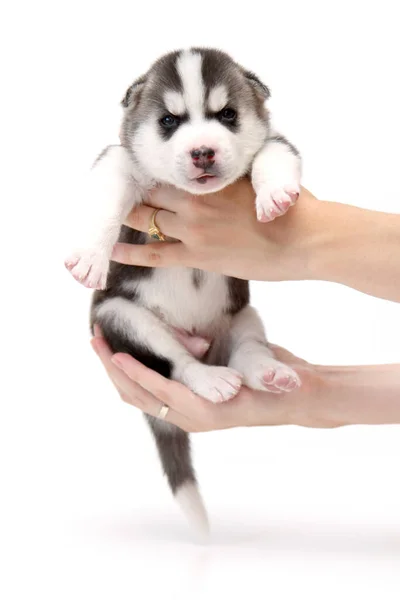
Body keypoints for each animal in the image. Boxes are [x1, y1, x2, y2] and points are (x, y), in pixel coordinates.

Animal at [67, 48, 302, 536]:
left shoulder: (275, 142)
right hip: (120, 316)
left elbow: (274, 153)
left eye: (227, 114)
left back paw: (270, 374)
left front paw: (274, 195)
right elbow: (106, 200)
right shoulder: (119, 161)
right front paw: (90, 256)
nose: (202, 152)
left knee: (247, 354)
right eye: (169, 121)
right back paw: (210, 380)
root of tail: (202, 345)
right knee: (177, 363)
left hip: (243, 316)